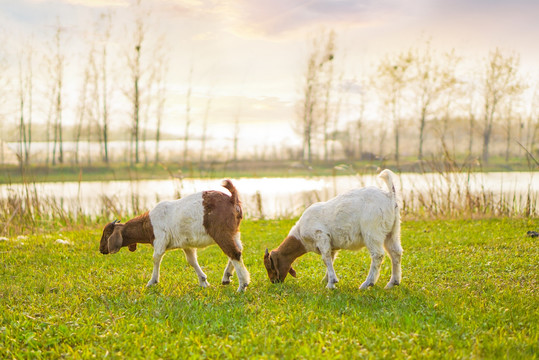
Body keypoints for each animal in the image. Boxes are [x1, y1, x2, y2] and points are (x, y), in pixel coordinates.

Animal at [99, 179, 251, 292]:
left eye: (106, 235)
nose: (101, 249)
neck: (148, 224)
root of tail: (232, 199)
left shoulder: (160, 240)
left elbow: (156, 258)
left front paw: (152, 281)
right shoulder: (186, 245)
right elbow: (192, 261)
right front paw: (203, 282)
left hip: (221, 232)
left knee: (234, 253)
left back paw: (242, 285)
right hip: (233, 232)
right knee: (238, 250)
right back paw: (227, 277)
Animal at [264, 170, 402, 292]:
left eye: (271, 266)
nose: (274, 281)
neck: (300, 234)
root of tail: (390, 196)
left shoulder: (321, 235)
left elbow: (326, 258)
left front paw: (331, 284)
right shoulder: (331, 245)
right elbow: (330, 258)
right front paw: (326, 280)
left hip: (372, 230)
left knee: (378, 255)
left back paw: (366, 284)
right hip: (392, 231)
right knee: (395, 252)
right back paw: (392, 283)